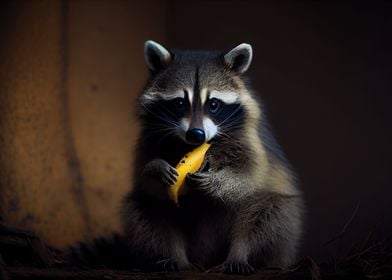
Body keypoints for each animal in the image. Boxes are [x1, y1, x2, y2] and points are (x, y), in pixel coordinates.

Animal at [121, 40, 304, 272]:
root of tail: (204, 259)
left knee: (267, 213)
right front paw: (156, 167)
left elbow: (249, 174)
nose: (196, 134)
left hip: (273, 219)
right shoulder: (148, 138)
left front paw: (218, 181)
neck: (190, 145)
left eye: (214, 104)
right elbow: (145, 178)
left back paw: (240, 254)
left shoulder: (250, 140)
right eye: (180, 103)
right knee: (150, 212)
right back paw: (175, 256)